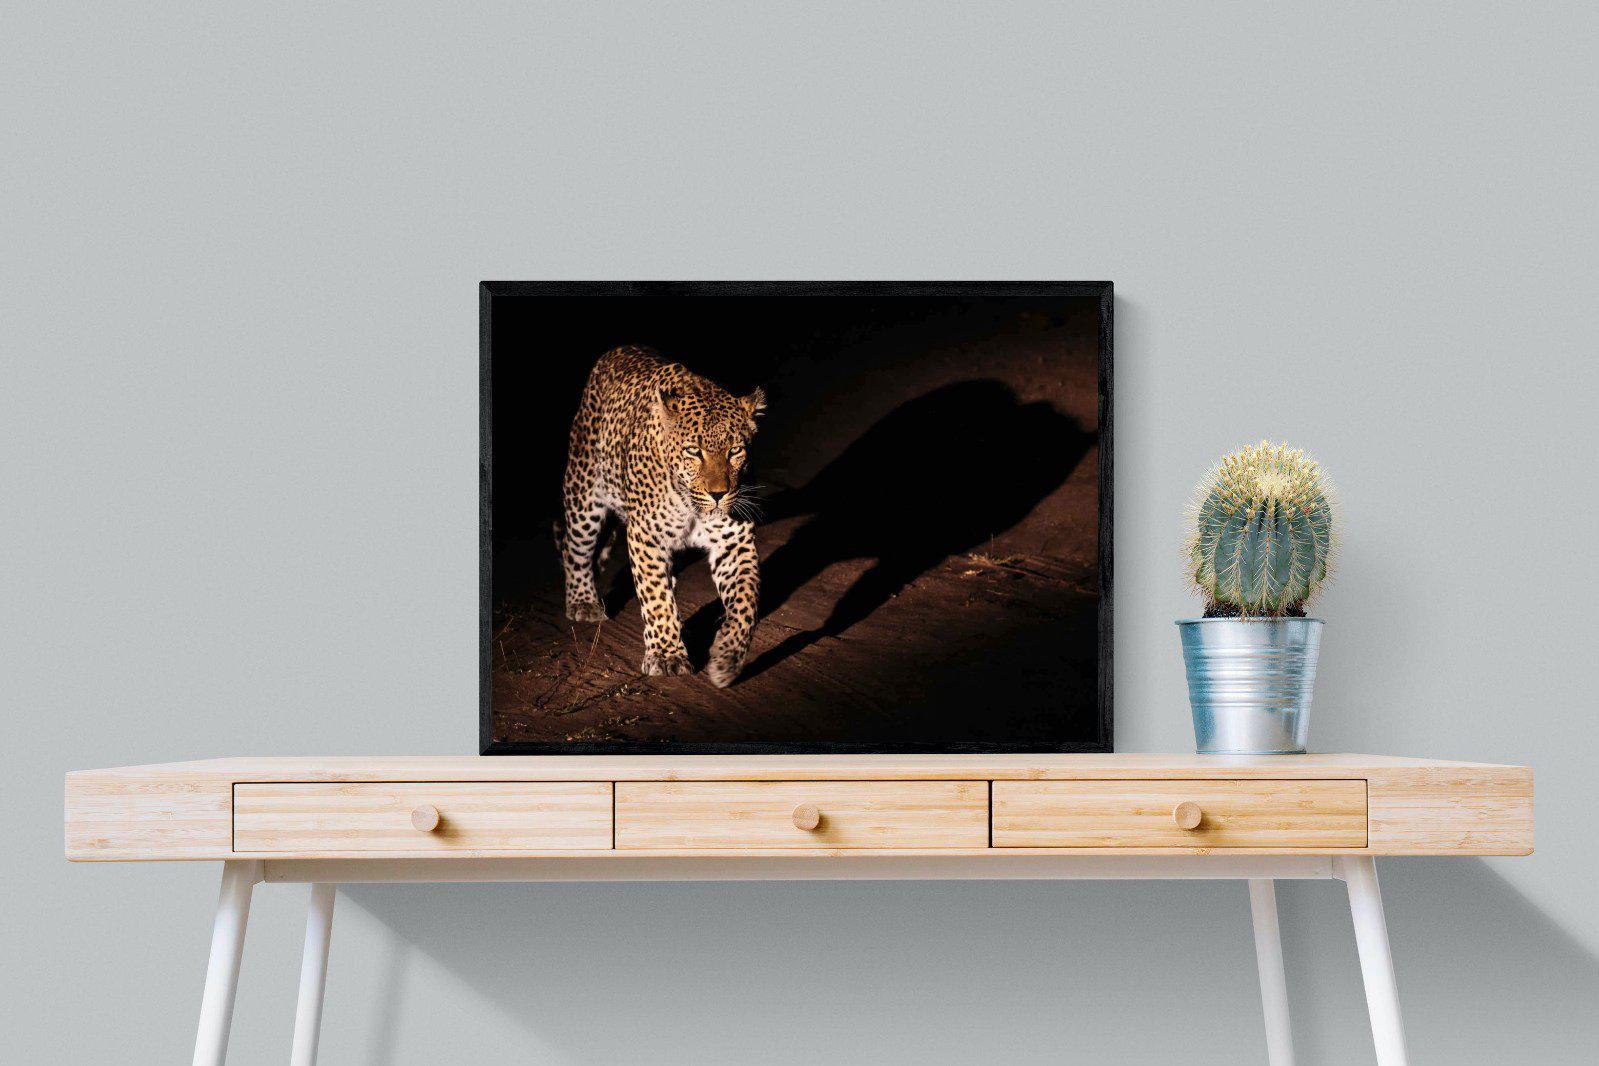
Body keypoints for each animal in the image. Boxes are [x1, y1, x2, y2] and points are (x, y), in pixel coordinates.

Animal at [558, 345, 765, 687]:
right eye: (694, 451)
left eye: (736, 451)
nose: (719, 494)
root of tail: (618, 350)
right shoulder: (646, 536)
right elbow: (655, 597)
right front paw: (667, 656)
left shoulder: (734, 542)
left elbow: (745, 602)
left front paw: (727, 657)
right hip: (583, 494)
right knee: (574, 549)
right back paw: (583, 602)